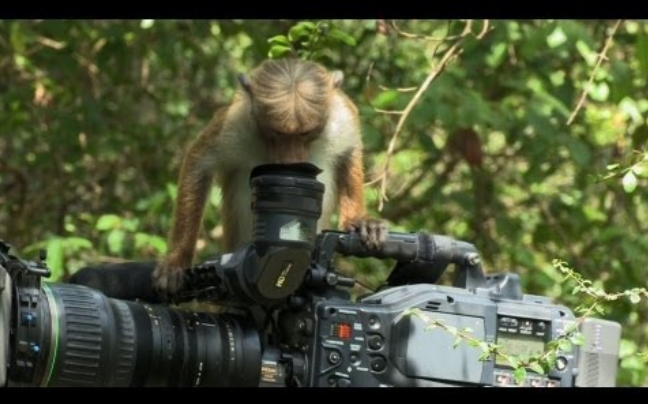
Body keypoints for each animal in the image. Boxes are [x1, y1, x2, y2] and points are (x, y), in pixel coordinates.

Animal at [152, 58, 388, 300]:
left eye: (304, 133)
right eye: (278, 133)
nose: (291, 159)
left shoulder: (343, 117)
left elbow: (350, 154)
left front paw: (359, 221)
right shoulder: (235, 122)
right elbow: (199, 164)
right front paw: (177, 260)